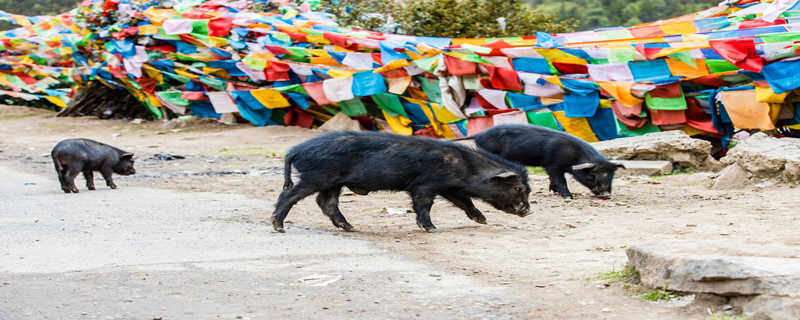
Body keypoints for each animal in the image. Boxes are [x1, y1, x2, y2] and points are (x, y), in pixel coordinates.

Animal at [274, 131, 532, 234]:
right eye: (518, 188)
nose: (528, 211)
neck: (464, 166)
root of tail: (295, 150)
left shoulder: (449, 187)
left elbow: (465, 201)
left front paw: (482, 220)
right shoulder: (425, 185)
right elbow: (424, 205)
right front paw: (432, 229)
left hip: (332, 182)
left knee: (326, 202)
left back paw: (350, 227)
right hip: (318, 176)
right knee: (290, 195)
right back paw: (278, 225)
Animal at [460, 124, 620, 198]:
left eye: (611, 176)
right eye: (592, 175)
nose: (606, 194)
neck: (575, 156)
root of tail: (479, 135)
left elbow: (553, 179)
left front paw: (553, 191)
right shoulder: (553, 164)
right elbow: (560, 180)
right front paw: (568, 197)